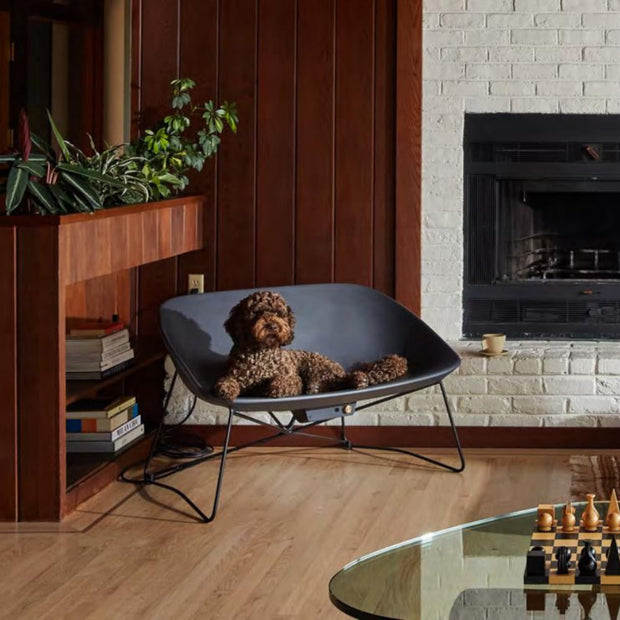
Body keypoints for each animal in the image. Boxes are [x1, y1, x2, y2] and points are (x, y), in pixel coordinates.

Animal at [214, 290, 412, 402]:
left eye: (280, 313)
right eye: (257, 312)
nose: (273, 326)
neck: (260, 353)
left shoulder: (292, 378)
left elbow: (281, 383)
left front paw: (272, 389)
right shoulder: (233, 375)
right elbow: (225, 381)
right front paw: (226, 390)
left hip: (315, 367)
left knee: (339, 381)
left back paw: (358, 379)